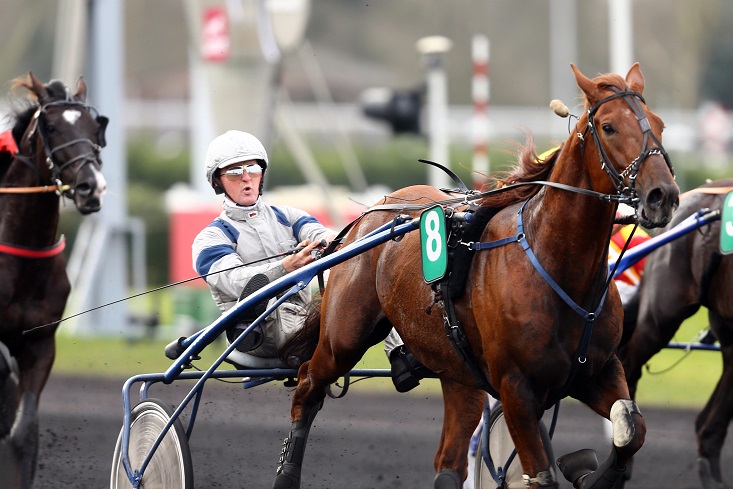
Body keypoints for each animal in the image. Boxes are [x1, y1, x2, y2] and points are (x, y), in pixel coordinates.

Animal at [272, 63, 676, 488]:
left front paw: (586, 469)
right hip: (344, 338)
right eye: (609, 127)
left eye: (660, 125)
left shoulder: (598, 371)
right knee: (307, 385)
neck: (558, 269)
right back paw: (286, 473)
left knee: (448, 463)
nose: (662, 195)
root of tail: (371, 212)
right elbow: (542, 473)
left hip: (458, 373)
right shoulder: (516, 389)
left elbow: (632, 429)